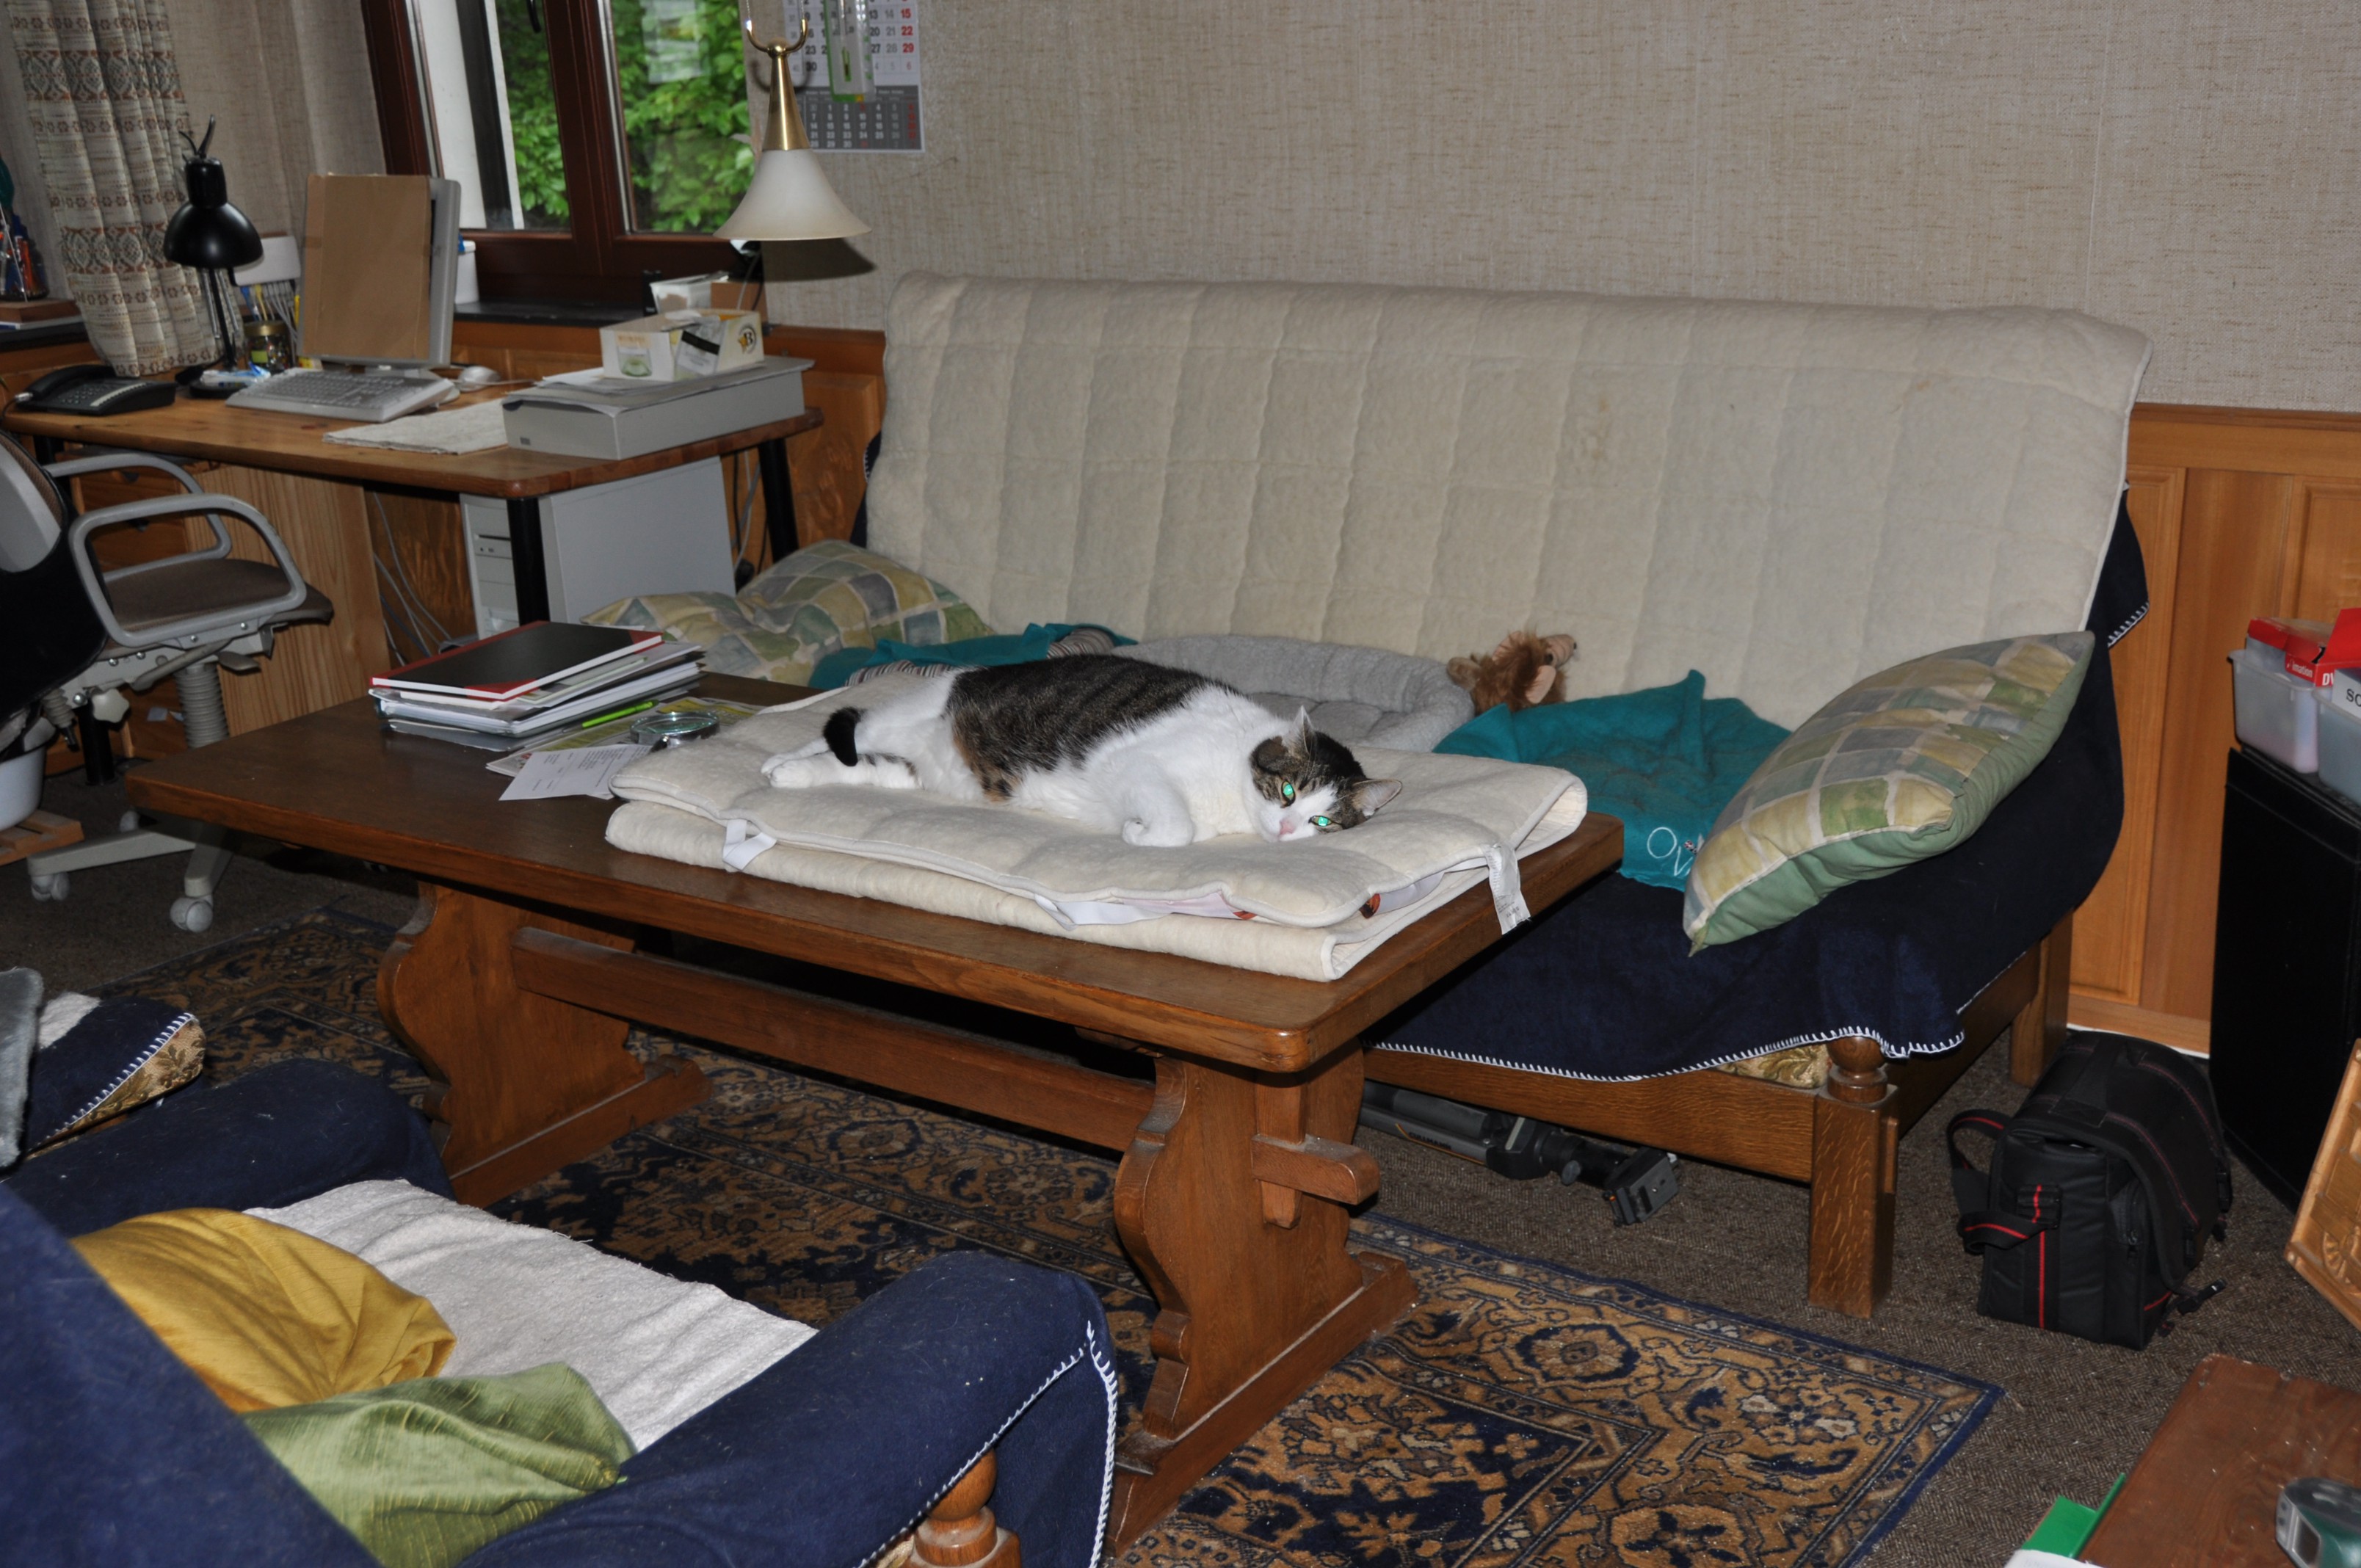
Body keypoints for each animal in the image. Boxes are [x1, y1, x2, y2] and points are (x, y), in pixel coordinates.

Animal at [759, 655, 1402, 847]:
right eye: (1288, 790)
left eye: (1322, 819)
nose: (1290, 828)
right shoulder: (1135, 766)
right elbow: (1177, 827)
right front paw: (1138, 833)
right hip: (906, 716)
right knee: (853, 727)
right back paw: (775, 760)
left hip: (915, 773)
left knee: (856, 766)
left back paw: (791, 773)